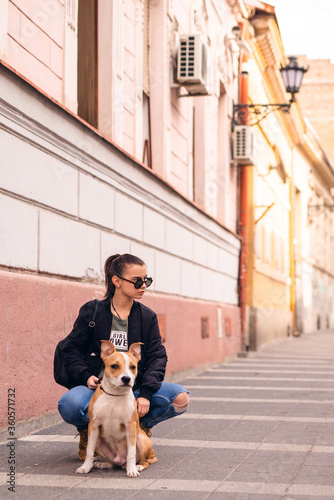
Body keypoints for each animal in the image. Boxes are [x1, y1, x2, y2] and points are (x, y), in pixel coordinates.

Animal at [76, 340, 157, 476]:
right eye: (114, 366)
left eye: (133, 367)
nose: (126, 378)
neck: (114, 395)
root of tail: (121, 461)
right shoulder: (93, 425)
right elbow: (89, 451)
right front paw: (85, 467)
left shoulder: (130, 426)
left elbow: (131, 453)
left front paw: (132, 470)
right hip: (98, 440)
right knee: (113, 462)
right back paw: (103, 464)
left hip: (141, 439)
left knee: (144, 460)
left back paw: (137, 466)